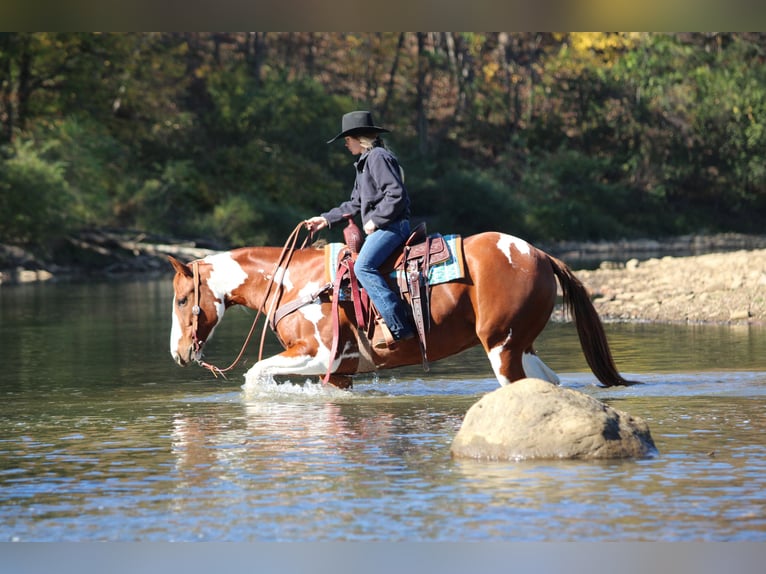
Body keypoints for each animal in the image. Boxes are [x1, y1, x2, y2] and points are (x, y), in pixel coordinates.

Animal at [168, 231, 637, 390]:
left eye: (181, 299)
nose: (178, 354)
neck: (295, 283)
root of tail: (537, 254)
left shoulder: (318, 355)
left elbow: (254, 377)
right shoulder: (340, 371)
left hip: (502, 348)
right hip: (523, 345)